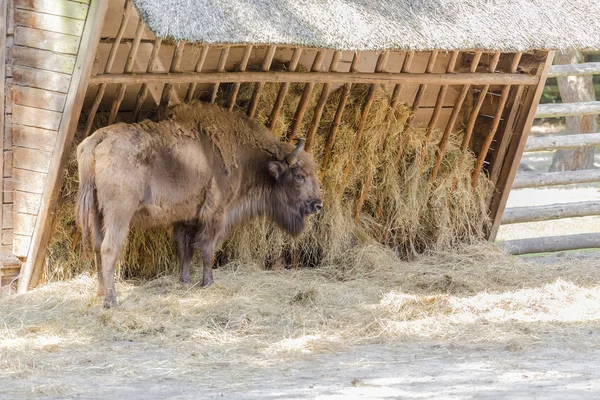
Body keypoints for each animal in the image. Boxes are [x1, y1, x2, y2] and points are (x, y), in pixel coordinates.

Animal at [76, 101, 324, 308]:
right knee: (109, 248)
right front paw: (208, 282)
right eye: (300, 176)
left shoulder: (186, 218)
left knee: (97, 247)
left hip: (96, 212)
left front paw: (184, 281)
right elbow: (207, 249)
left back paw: (100, 293)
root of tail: (99, 137)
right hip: (118, 213)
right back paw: (111, 301)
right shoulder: (215, 214)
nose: (317, 205)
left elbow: (185, 249)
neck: (245, 156)